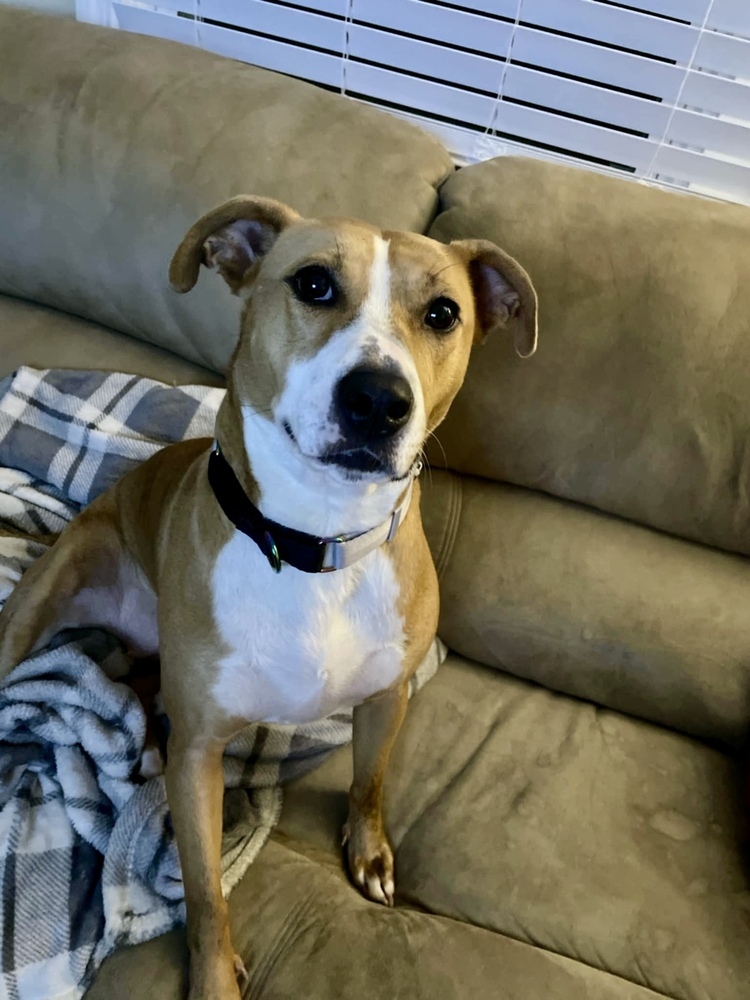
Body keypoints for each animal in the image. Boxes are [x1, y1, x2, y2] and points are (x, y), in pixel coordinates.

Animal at [0, 197, 540, 1000]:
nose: (377, 400)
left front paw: (369, 853)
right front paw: (215, 979)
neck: (316, 542)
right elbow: (205, 892)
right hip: (51, 588)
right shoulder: (200, 754)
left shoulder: (388, 694)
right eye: (313, 284)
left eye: (443, 312)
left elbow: (369, 781)